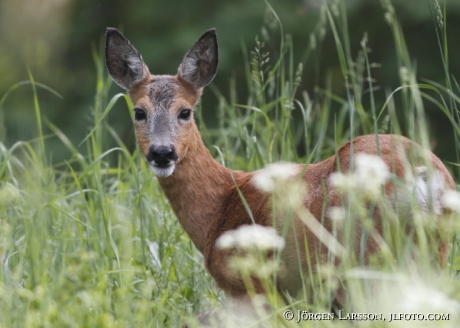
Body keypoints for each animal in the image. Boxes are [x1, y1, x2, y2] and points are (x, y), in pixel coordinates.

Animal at [105, 28, 456, 304]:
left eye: (185, 111)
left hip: (362, 259)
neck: (221, 206)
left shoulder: (251, 287)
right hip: (429, 254)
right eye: (139, 112)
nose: (162, 153)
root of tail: (423, 176)